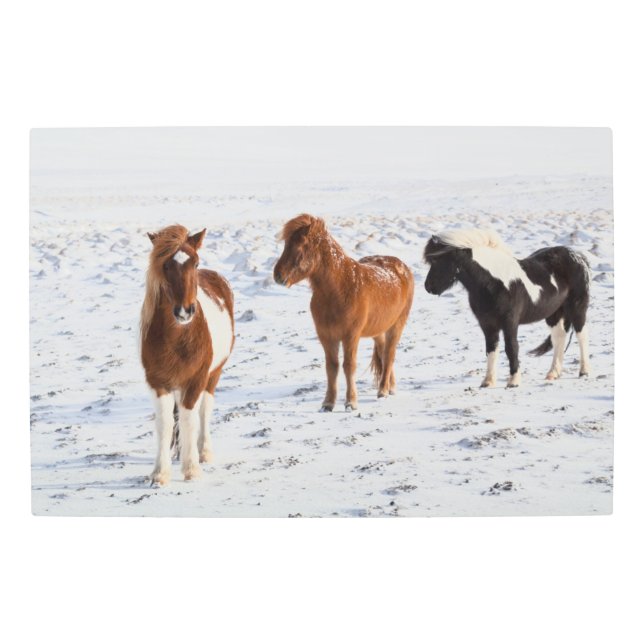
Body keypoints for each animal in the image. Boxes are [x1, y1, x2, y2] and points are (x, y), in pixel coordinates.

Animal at [140, 224, 234, 485]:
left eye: (195, 262)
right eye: (165, 266)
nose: (185, 311)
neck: (177, 337)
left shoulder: (195, 381)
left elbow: (189, 419)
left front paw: (191, 468)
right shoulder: (158, 383)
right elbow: (165, 424)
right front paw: (159, 473)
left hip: (213, 375)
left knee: (204, 410)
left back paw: (203, 451)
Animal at [273, 214, 414, 411]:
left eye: (300, 247)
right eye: (286, 244)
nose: (278, 276)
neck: (340, 289)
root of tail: (403, 267)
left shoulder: (350, 336)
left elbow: (349, 366)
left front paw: (351, 402)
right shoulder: (326, 336)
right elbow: (331, 367)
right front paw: (328, 403)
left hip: (397, 326)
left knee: (389, 354)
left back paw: (383, 391)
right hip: (378, 330)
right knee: (383, 352)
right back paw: (390, 387)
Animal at [423, 228, 591, 388]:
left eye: (439, 260)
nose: (428, 287)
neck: (493, 283)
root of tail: (577, 256)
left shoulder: (510, 322)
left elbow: (511, 348)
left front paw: (513, 381)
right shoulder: (487, 324)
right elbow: (491, 349)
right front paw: (488, 382)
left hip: (577, 308)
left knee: (581, 335)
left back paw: (584, 372)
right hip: (554, 313)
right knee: (559, 337)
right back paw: (553, 374)